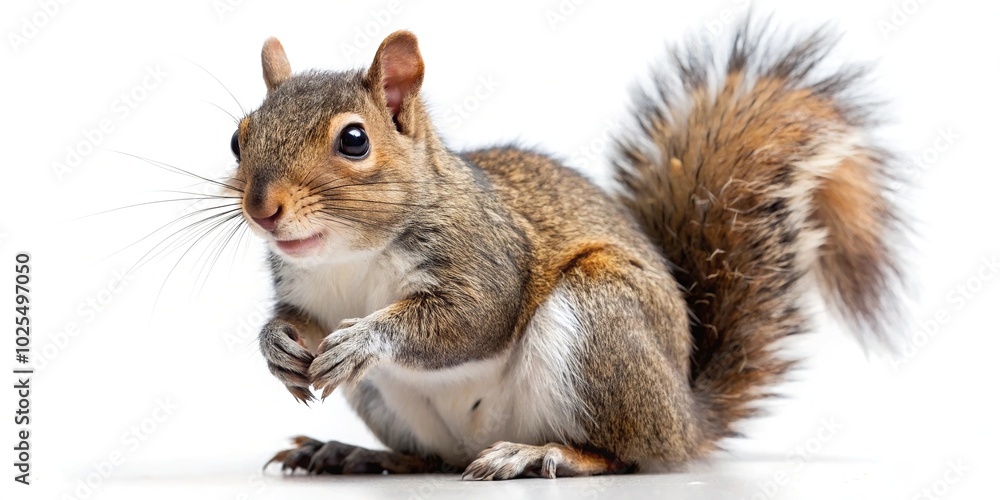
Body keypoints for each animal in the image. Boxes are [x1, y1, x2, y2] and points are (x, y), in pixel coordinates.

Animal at [225, 19, 901, 480]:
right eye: (238, 138)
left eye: (354, 140)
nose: (262, 208)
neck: (350, 256)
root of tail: (685, 417)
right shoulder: (305, 289)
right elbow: (301, 323)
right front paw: (276, 345)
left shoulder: (487, 256)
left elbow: (472, 318)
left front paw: (365, 338)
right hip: (386, 400)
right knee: (430, 459)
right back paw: (352, 453)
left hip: (597, 319)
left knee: (626, 455)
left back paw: (539, 453)